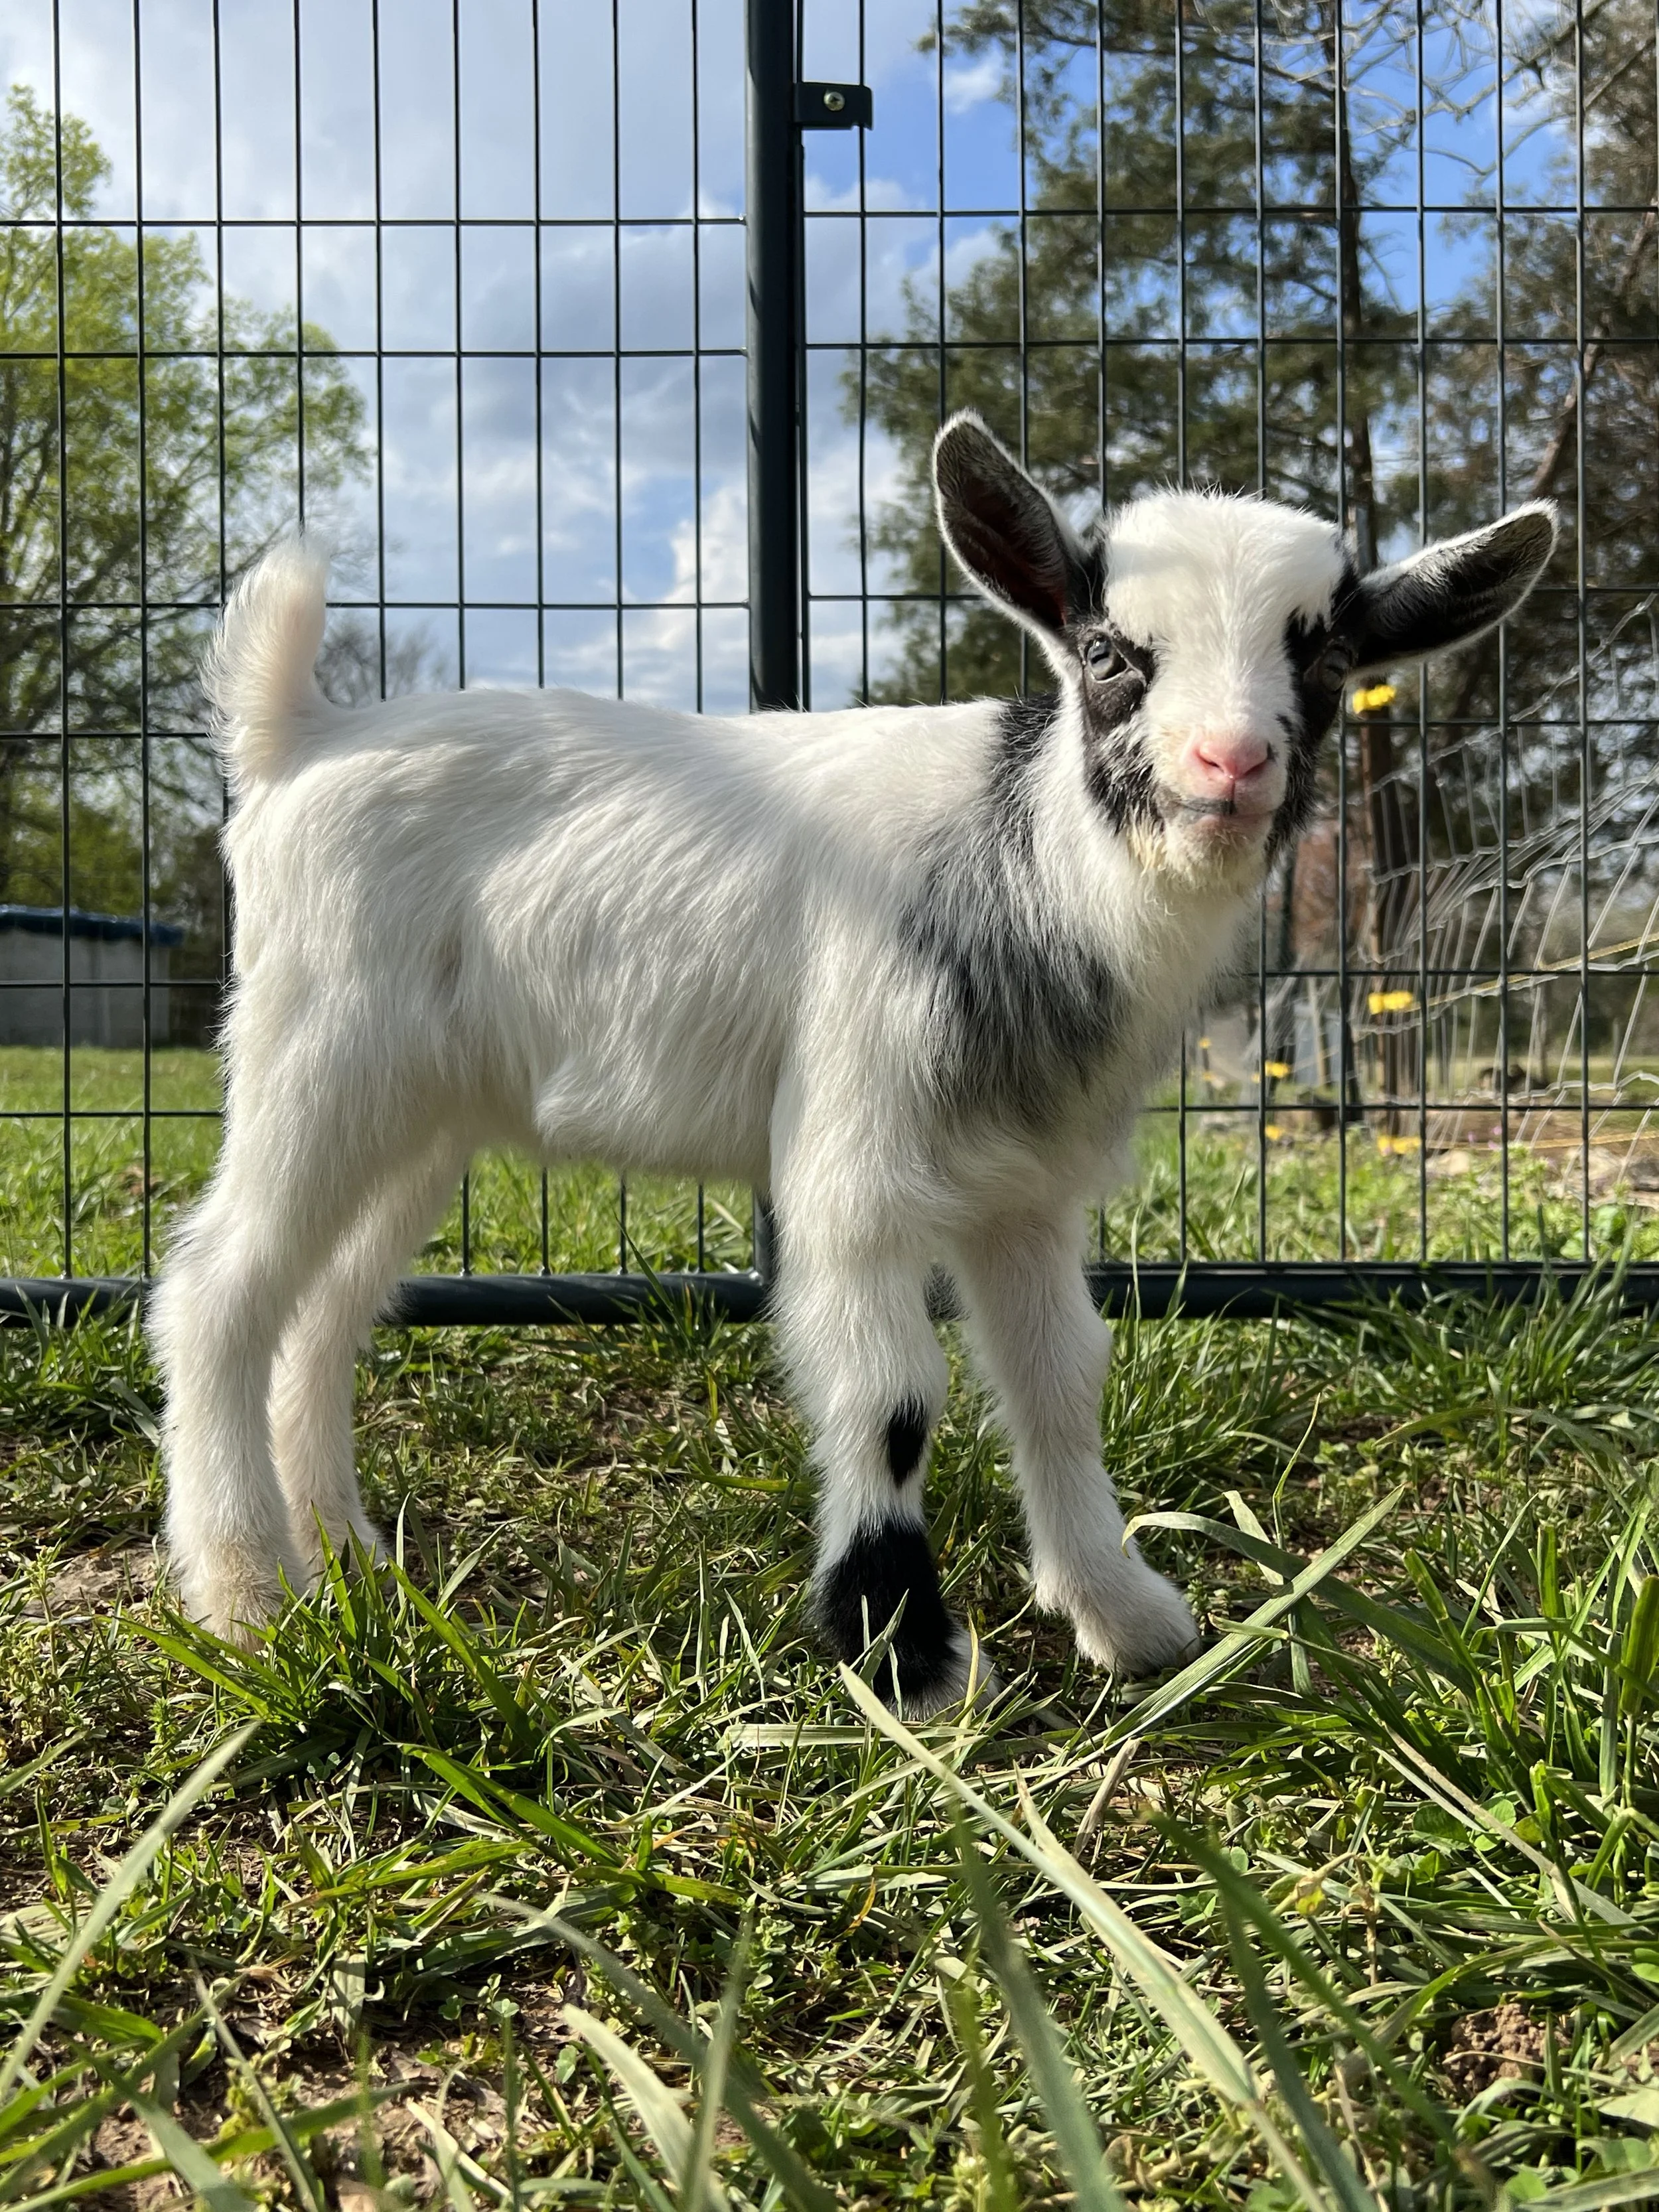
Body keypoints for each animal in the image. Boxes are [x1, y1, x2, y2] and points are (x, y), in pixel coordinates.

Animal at [151, 413, 1555, 1711]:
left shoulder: (1025, 1189)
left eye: (1324, 654)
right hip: (317, 1051)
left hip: (419, 1110)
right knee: (218, 1288)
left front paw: (1127, 1614)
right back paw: (247, 1597)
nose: (1232, 761)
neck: (1021, 861)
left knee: (324, 1308)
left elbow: (1062, 1380)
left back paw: (346, 1560)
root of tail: (296, 743)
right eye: (1109, 654)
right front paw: (909, 1659)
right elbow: (892, 1400)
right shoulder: (856, 1160)